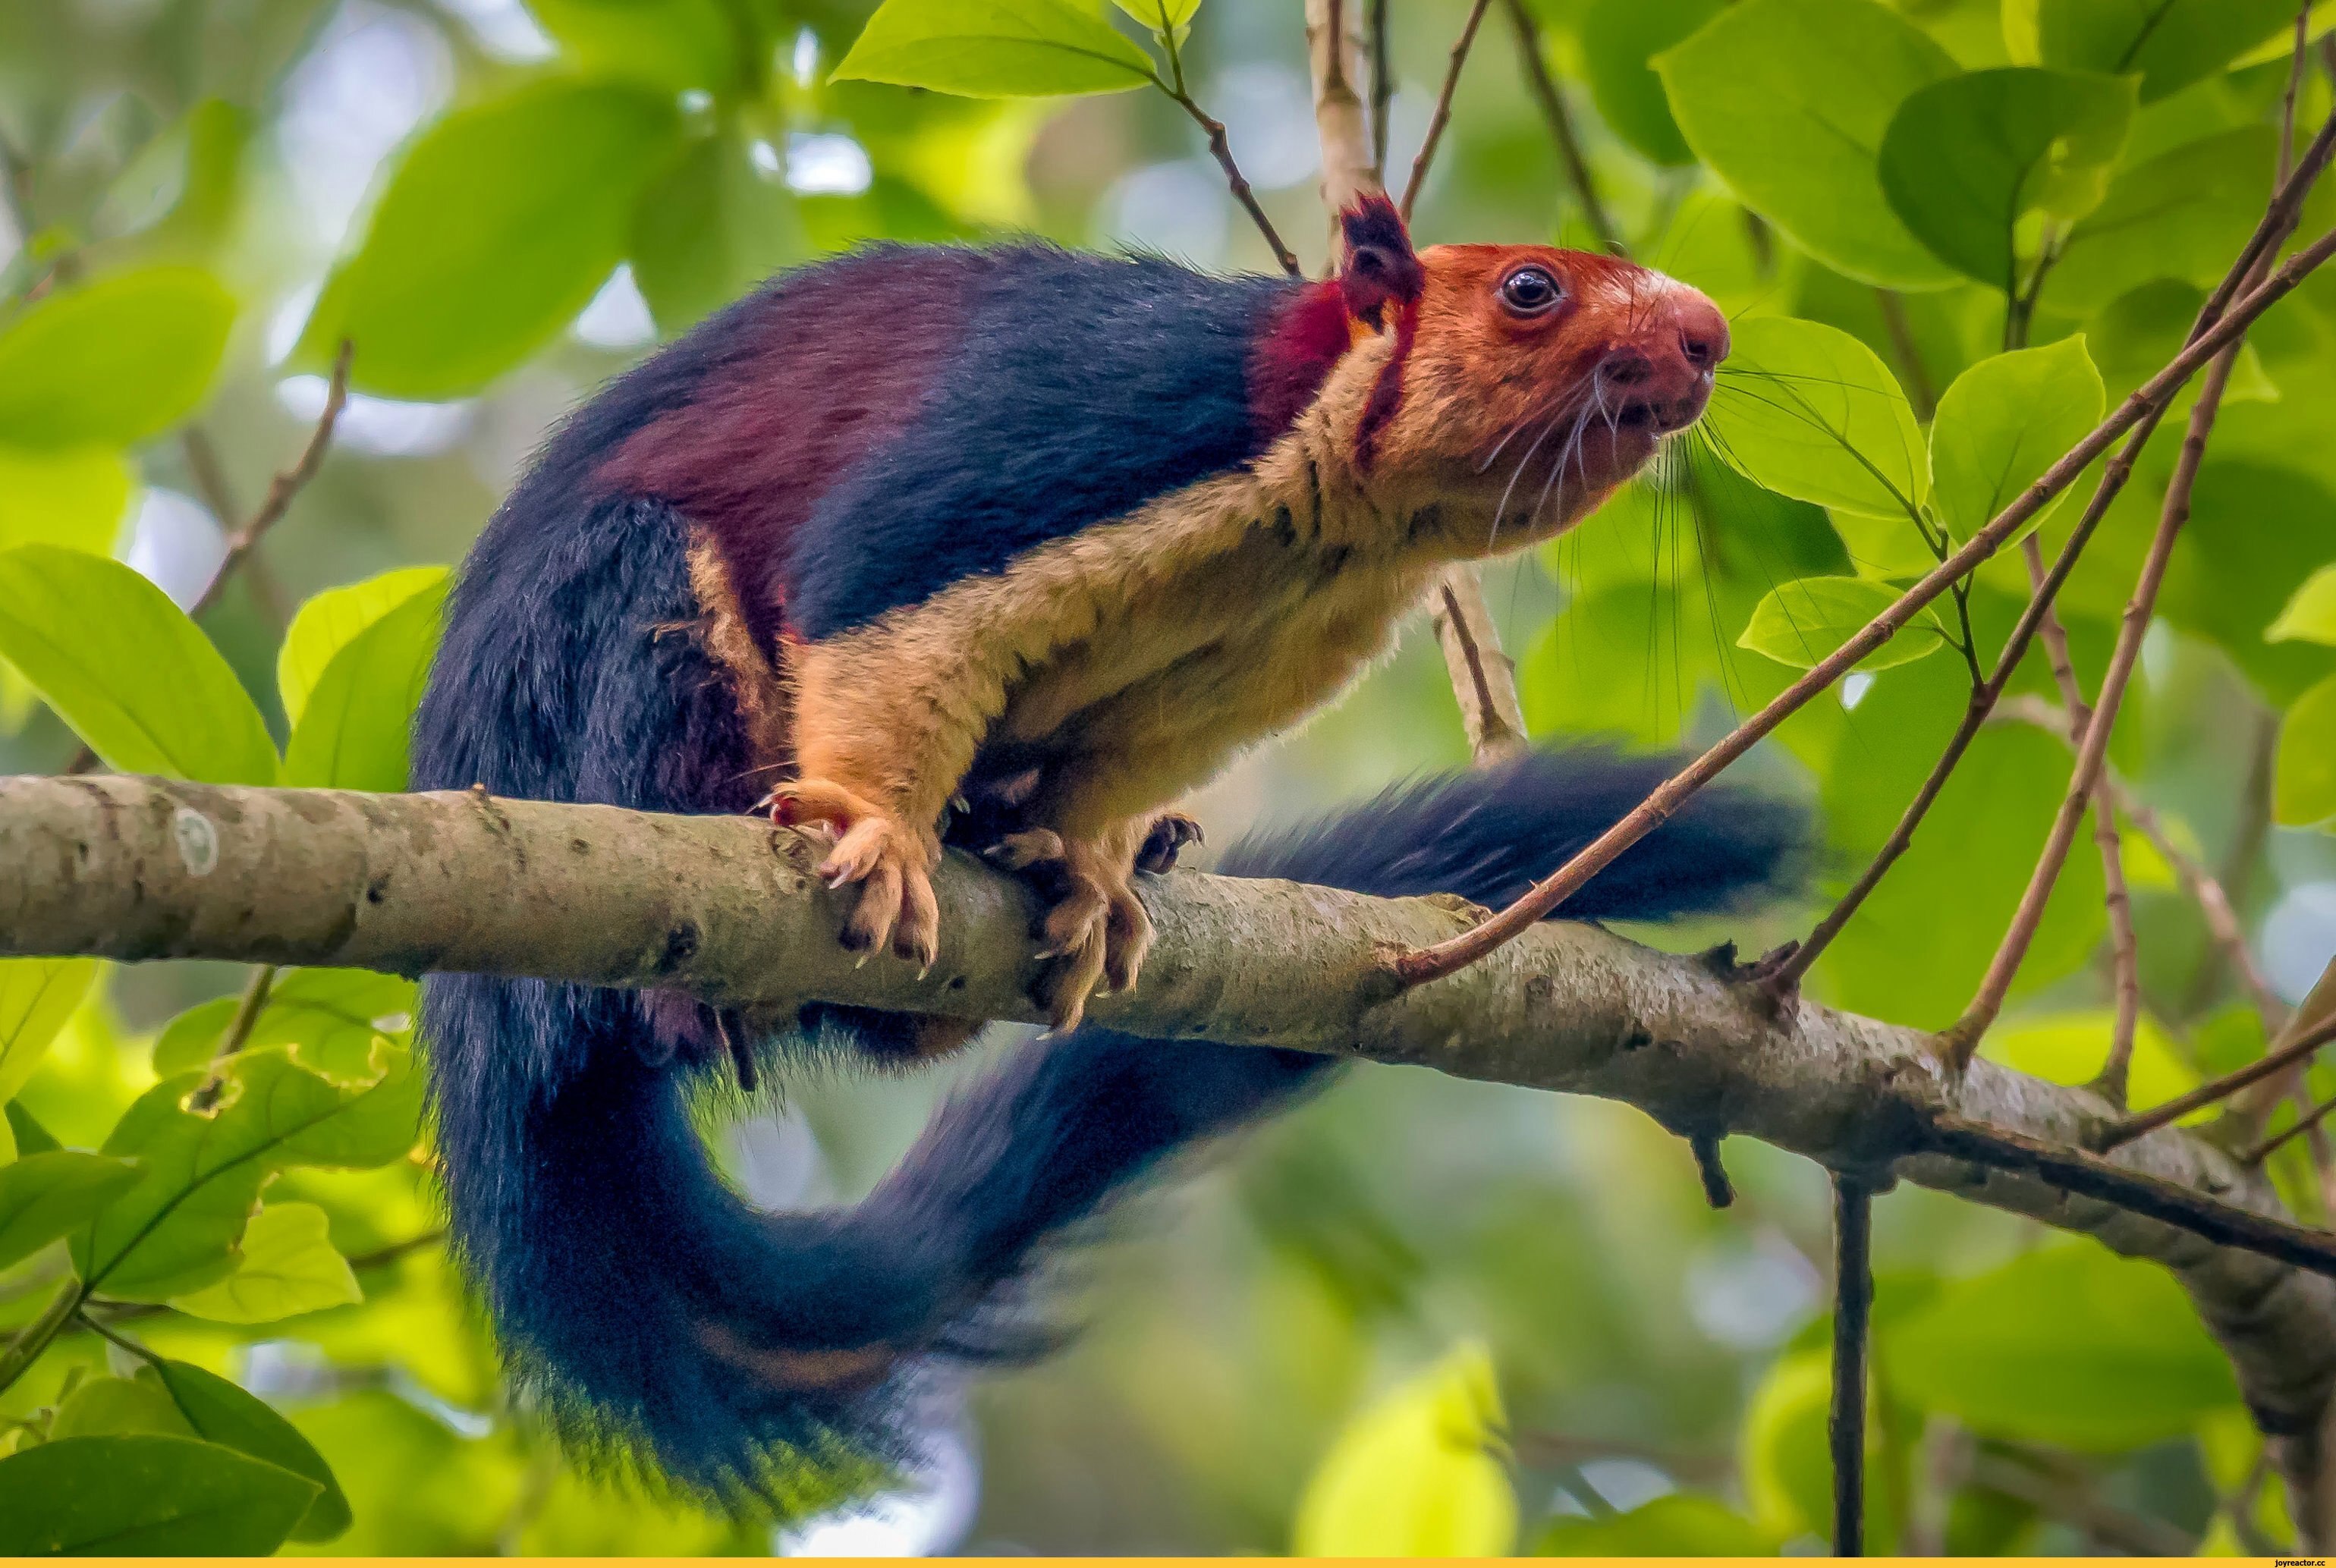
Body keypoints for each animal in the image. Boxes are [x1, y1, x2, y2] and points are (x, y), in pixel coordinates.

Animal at [416, 202, 1803, 1504]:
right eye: (1530, 289)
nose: (1707, 334)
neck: (1339, 520)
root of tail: (482, 1036)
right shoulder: (1104, 420)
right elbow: (877, 582)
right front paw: (876, 829)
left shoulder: (1274, 650)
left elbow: (1120, 762)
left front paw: (1087, 871)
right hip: (587, 679)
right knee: (637, 595)